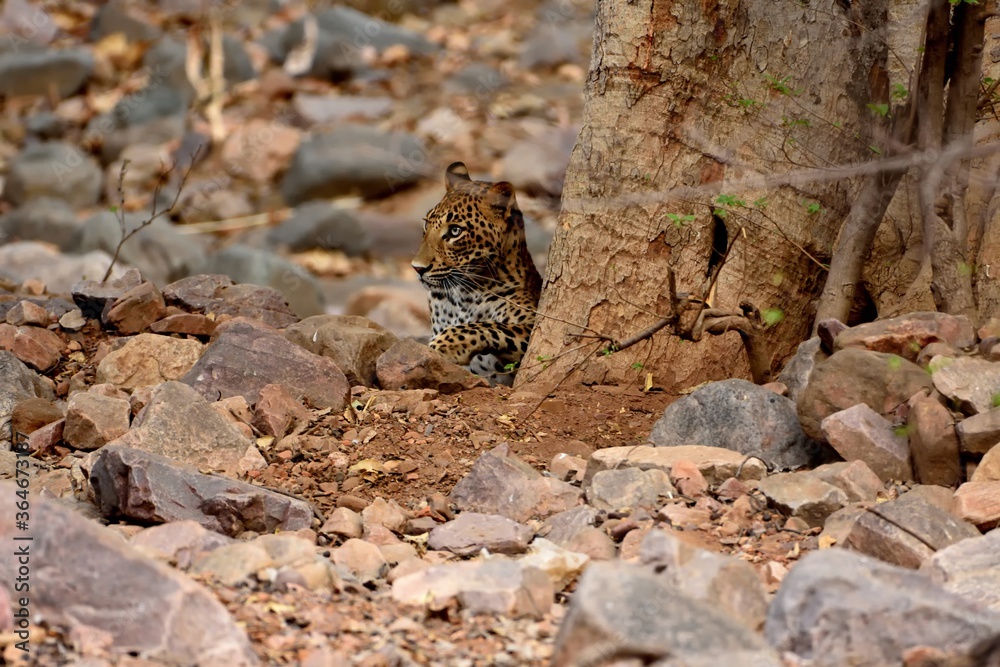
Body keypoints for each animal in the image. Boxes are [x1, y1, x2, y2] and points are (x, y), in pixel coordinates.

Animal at [410, 161, 544, 386]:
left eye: (455, 231)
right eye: (426, 223)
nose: (417, 268)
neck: (464, 294)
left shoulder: (531, 326)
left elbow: (489, 326)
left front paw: (443, 344)